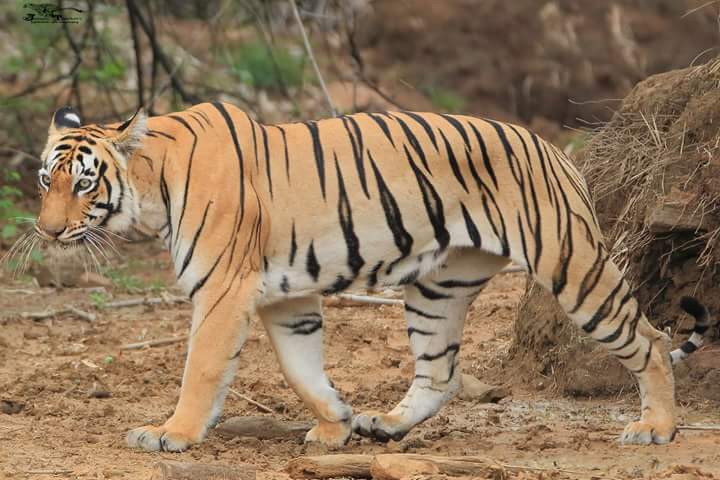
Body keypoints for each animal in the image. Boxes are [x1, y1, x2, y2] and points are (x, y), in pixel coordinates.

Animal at [19, 103, 712, 452]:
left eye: (83, 184)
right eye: (46, 180)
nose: (47, 232)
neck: (151, 185)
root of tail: (552, 148)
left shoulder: (222, 290)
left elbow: (202, 369)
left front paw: (171, 435)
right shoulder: (286, 296)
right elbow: (301, 369)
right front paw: (336, 424)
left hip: (572, 266)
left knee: (649, 341)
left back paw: (655, 429)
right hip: (437, 288)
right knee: (439, 373)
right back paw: (386, 426)